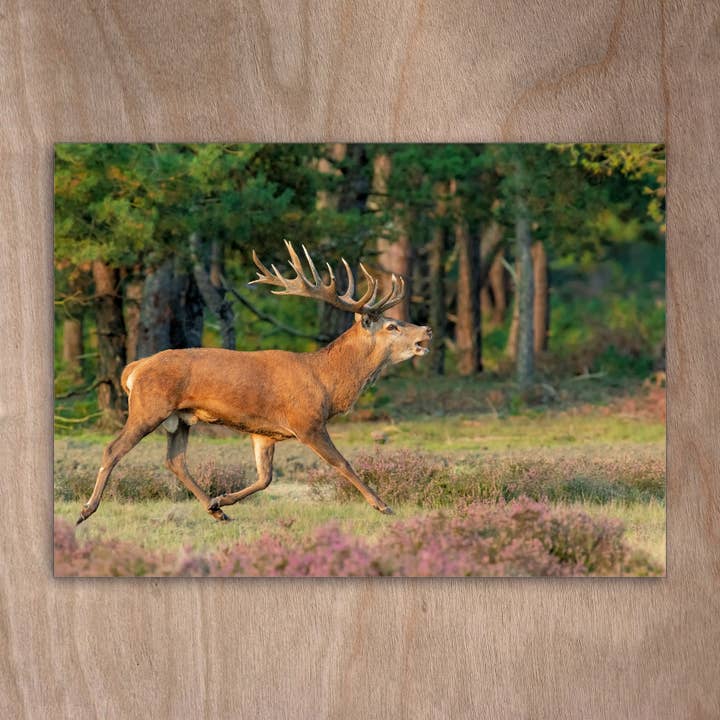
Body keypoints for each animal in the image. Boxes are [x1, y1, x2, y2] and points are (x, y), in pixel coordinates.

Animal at [76, 241, 432, 525]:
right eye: (391, 326)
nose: (426, 329)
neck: (328, 384)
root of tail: (134, 368)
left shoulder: (265, 432)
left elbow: (265, 478)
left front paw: (222, 499)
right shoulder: (306, 422)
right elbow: (342, 462)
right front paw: (383, 505)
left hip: (181, 419)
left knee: (174, 460)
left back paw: (216, 510)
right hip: (149, 406)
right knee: (113, 448)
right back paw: (87, 509)